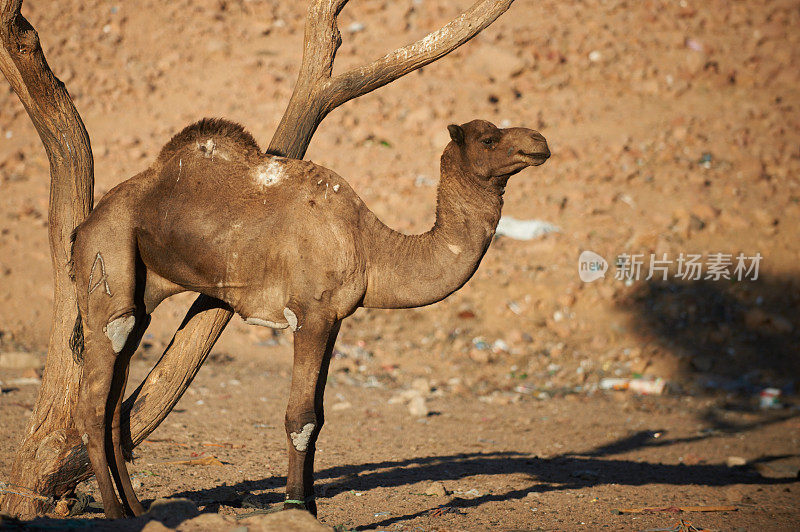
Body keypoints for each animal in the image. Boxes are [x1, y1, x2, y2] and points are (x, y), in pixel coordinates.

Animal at [69, 115, 548, 516]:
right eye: (489, 139)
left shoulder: (335, 319)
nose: (540, 141)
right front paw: (297, 507)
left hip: (141, 293)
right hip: (107, 258)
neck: (369, 246)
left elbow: (318, 413)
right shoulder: (310, 314)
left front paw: (312, 508)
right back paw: (115, 514)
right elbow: (301, 418)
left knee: (115, 406)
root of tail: (84, 224)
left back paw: (137, 509)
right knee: (93, 403)